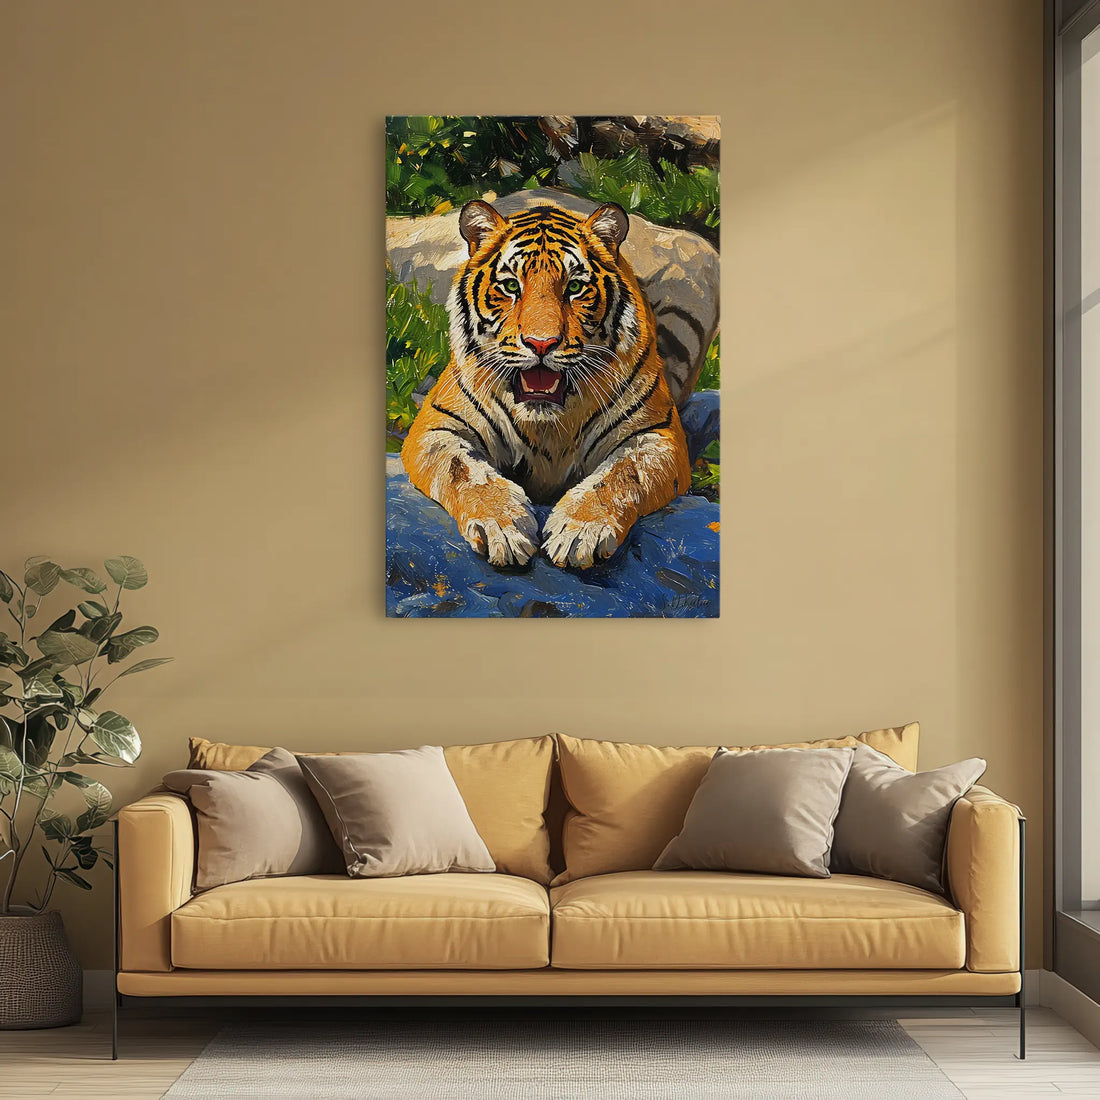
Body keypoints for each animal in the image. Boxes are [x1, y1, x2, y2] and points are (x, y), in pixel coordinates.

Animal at [401, 199, 693, 570]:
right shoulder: (437, 427)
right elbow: (464, 471)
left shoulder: (656, 434)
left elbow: (621, 474)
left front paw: (580, 531)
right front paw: (502, 527)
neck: (548, 426)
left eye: (574, 287)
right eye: (511, 286)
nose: (541, 344)